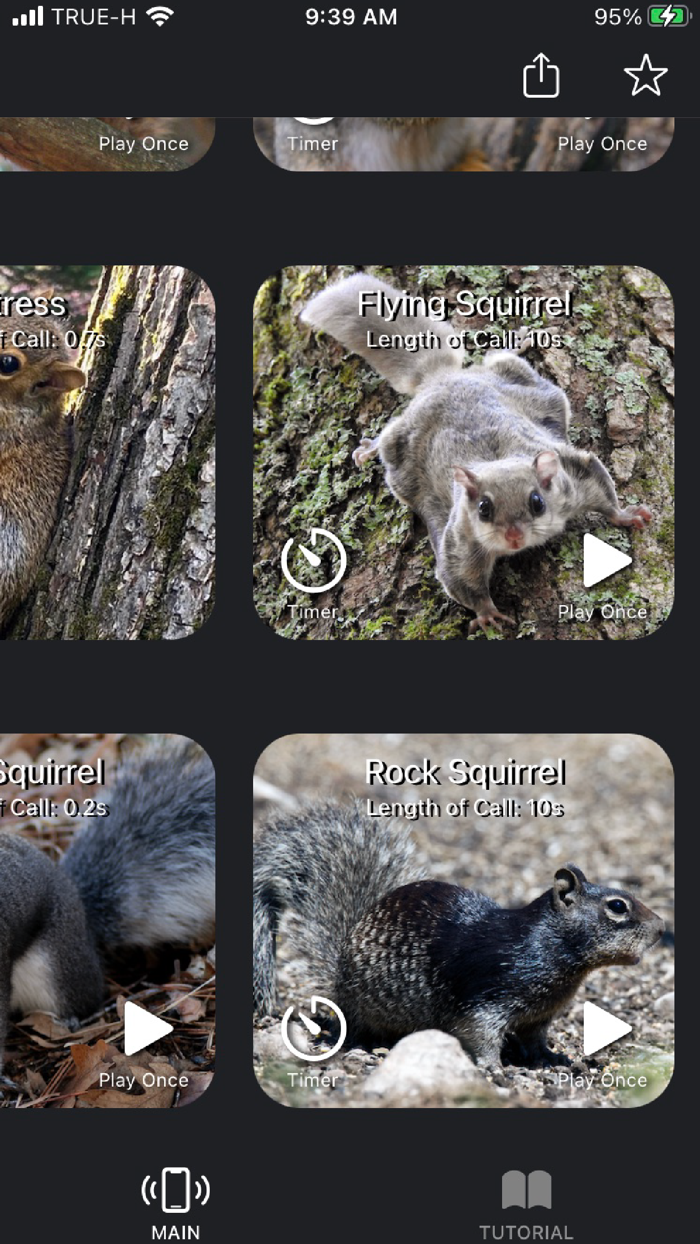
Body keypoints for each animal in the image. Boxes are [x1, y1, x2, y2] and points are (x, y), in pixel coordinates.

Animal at [253, 803, 664, 1067]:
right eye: (617, 906)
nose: (662, 928)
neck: (548, 945)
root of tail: (338, 973)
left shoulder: (539, 1016)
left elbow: (535, 1040)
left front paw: (553, 1058)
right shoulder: (486, 1000)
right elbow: (481, 1034)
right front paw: (493, 1067)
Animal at [301, 274, 652, 632]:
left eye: (537, 502)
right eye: (483, 509)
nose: (514, 537)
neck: (497, 461)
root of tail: (441, 378)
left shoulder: (573, 477)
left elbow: (600, 489)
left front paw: (625, 516)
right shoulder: (461, 541)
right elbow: (461, 580)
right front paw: (487, 614)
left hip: (524, 383)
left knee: (499, 359)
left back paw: (518, 341)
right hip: (400, 444)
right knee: (389, 435)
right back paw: (370, 448)